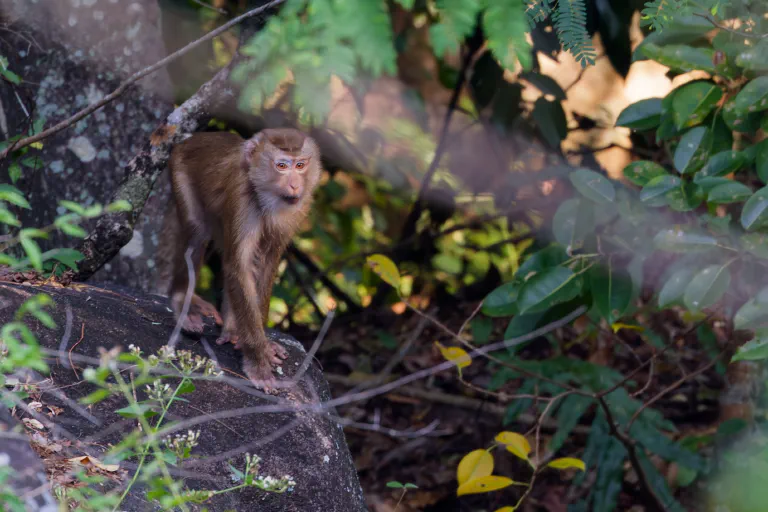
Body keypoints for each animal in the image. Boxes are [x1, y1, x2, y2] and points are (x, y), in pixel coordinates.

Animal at [166, 127, 322, 388]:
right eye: (281, 165)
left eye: (300, 165)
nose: (294, 185)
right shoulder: (241, 198)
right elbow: (239, 266)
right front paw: (258, 362)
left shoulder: (298, 208)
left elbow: (265, 264)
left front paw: (264, 344)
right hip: (179, 171)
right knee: (198, 233)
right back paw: (183, 304)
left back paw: (231, 329)